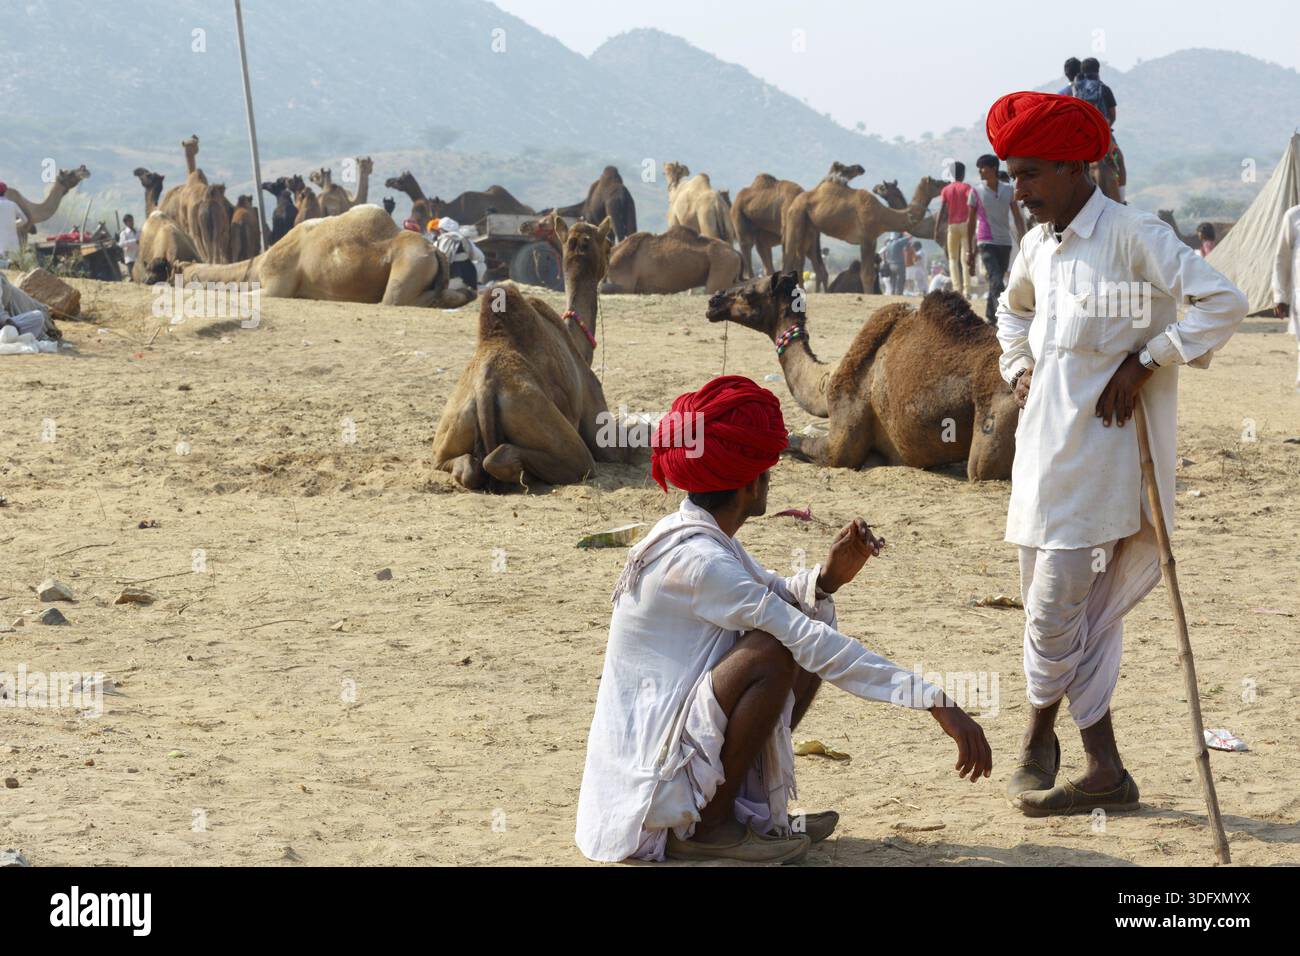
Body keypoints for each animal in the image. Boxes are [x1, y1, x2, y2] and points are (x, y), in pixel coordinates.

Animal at [705, 270, 1017, 480]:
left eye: (748, 293)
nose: (713, 300)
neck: (826, 380)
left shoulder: (842, 438)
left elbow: (795, 441)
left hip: (992, 426)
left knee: (980, 469)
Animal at [784, 171, 943, 294]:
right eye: (937, 183)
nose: (946, 183)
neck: (882, 215)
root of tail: (797, 200)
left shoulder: (872, 240)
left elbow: (871, 274)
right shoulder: (865, 238)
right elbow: (866, 274)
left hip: (809, 227)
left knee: (801, 260)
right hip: (796, 215)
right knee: (790, 255)